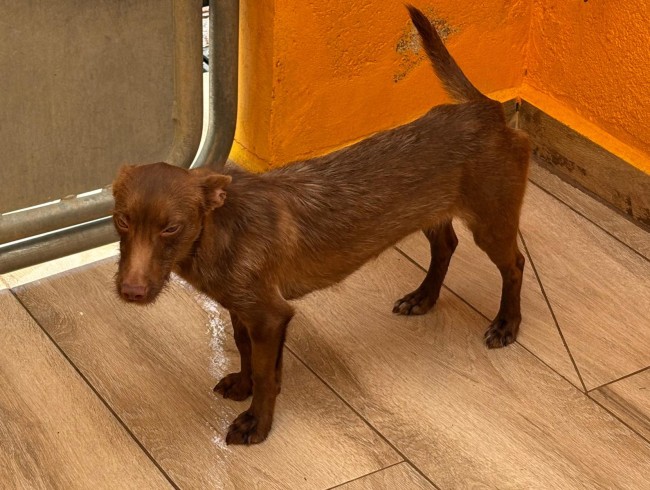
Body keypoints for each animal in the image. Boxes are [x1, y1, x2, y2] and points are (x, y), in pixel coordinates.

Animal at [111, 5, 529, 445]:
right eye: (121, 219)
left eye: (171, 227)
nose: (131, 292)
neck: (219, 234)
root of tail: (485, 110)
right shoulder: (245, 308)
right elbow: (244, 348)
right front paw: (243, 384)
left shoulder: (271, 314)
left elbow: (266, 374)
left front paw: (257, 422)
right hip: (430, 211)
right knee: (446, 245)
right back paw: (423, 297)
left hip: (491, 220)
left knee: (514, 265)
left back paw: (506, 324)